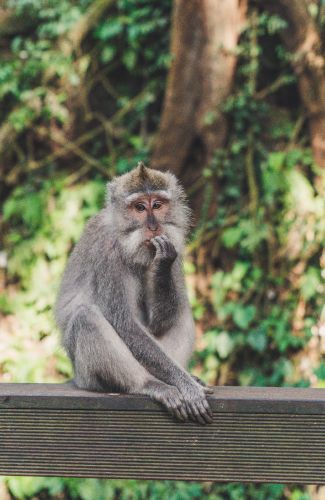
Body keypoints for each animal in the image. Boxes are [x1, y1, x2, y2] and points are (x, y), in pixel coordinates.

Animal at [55, 162, 213, 424]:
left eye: (157, 205)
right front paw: (186, 386)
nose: (153, 227)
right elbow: (125, 323)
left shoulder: (175, 247)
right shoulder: (107, 252)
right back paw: (150, 384)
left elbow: (158, 322)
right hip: (87, 377)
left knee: (181, 311)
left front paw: (162, 262)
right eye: (139, 207)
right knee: (86, 317)